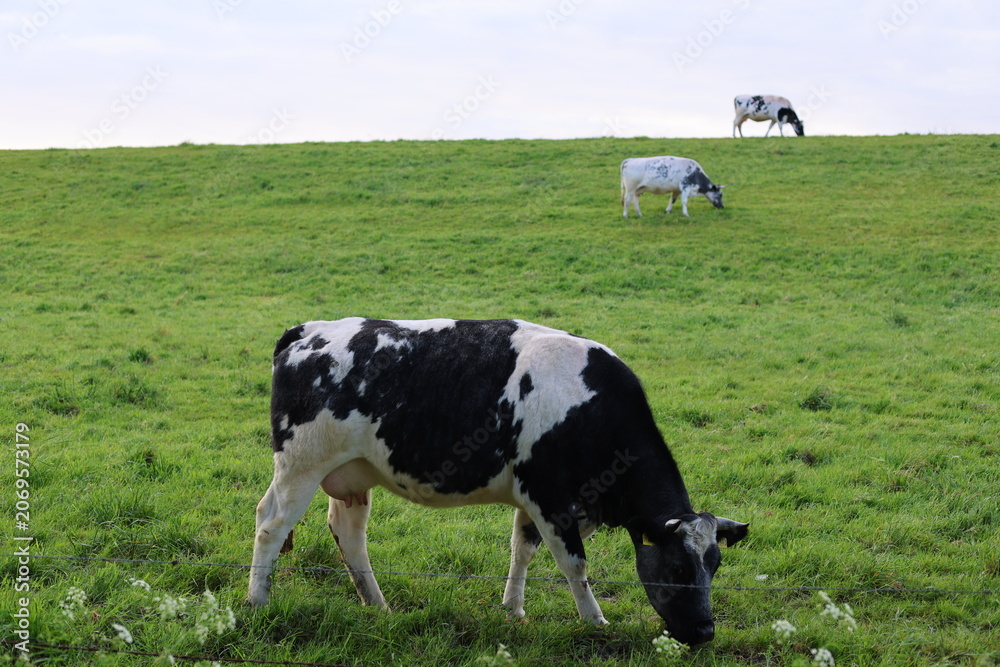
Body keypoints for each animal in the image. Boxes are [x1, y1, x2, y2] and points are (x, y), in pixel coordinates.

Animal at [248, 317, 748, 645]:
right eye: (679, 569)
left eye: (715, 566)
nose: (705, 632)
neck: (589, 408)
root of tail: (308, 330)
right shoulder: (548, 497)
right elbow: (574, 564)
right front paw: (595, 621)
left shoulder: (542, 501)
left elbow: (522, 549)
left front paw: (513, 608)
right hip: (301, 465)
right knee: (271, 525)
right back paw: (258, 602)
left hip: (352, 473)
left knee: (349, 536)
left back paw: (378, 605)